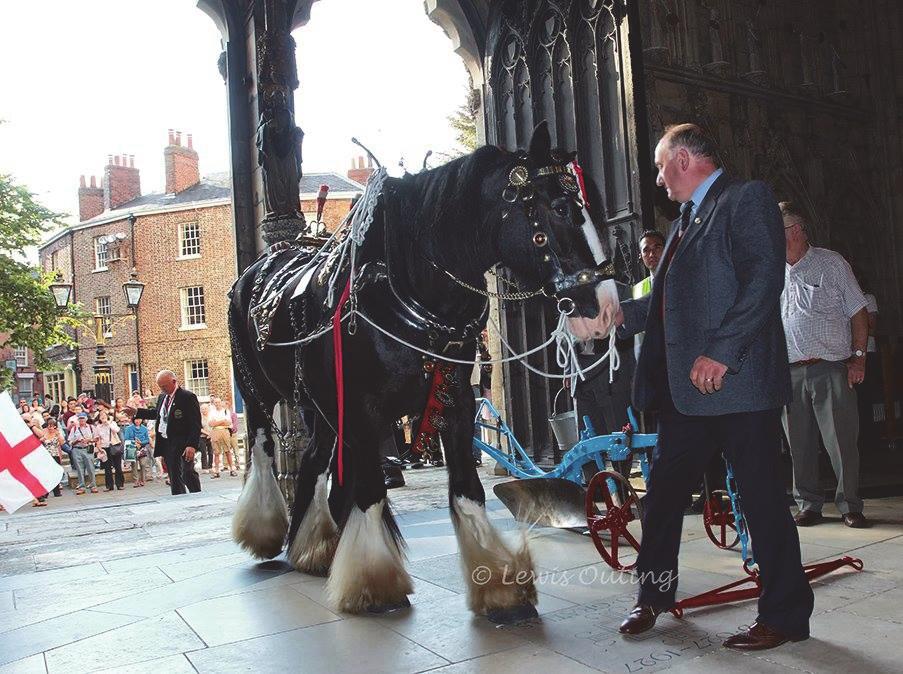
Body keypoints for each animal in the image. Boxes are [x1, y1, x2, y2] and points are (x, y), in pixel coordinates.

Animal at [230, 119, 616, 620]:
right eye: (561, 208)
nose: (606, 308)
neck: (403, 287)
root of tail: (256, 268)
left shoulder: (456, 401)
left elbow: (467, 488)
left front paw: (499, 581)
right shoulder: (363, 409)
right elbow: (371, 488)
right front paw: (373, 581)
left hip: (319, 405)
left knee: (314, 460)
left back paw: (315, 547)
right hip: (258, 391)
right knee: (262, 447)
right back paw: (266, 532)